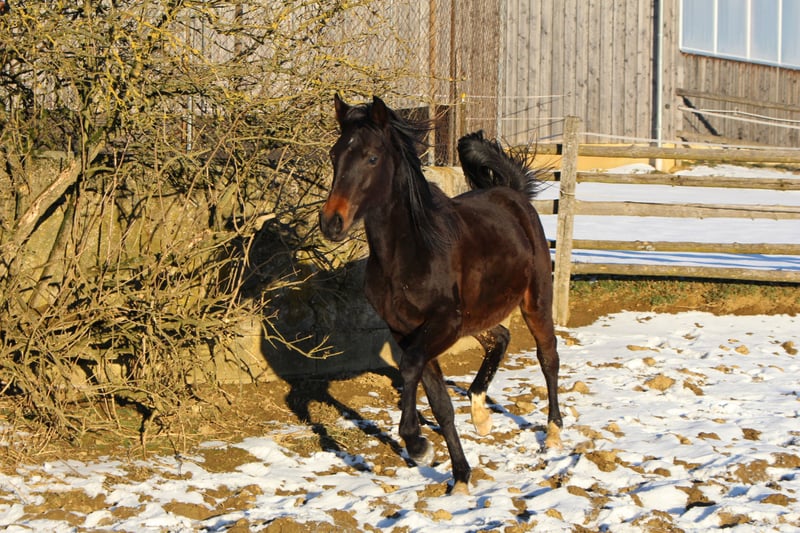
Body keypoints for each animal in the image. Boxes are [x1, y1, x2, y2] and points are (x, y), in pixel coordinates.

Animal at [319, 95, 562, 495]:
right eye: (334, 154)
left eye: (372, 157)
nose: (331, 222)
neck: (410, 252)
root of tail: (512, 192)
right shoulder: (408, 331)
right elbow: (440, 402)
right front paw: (460, 475)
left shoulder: (441, 324)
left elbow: (410, 368)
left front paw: (417, 443)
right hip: (476, 315)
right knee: (500, 337)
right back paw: (480, 413)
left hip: (535, 299)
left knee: (548, 357)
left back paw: (554, 432)